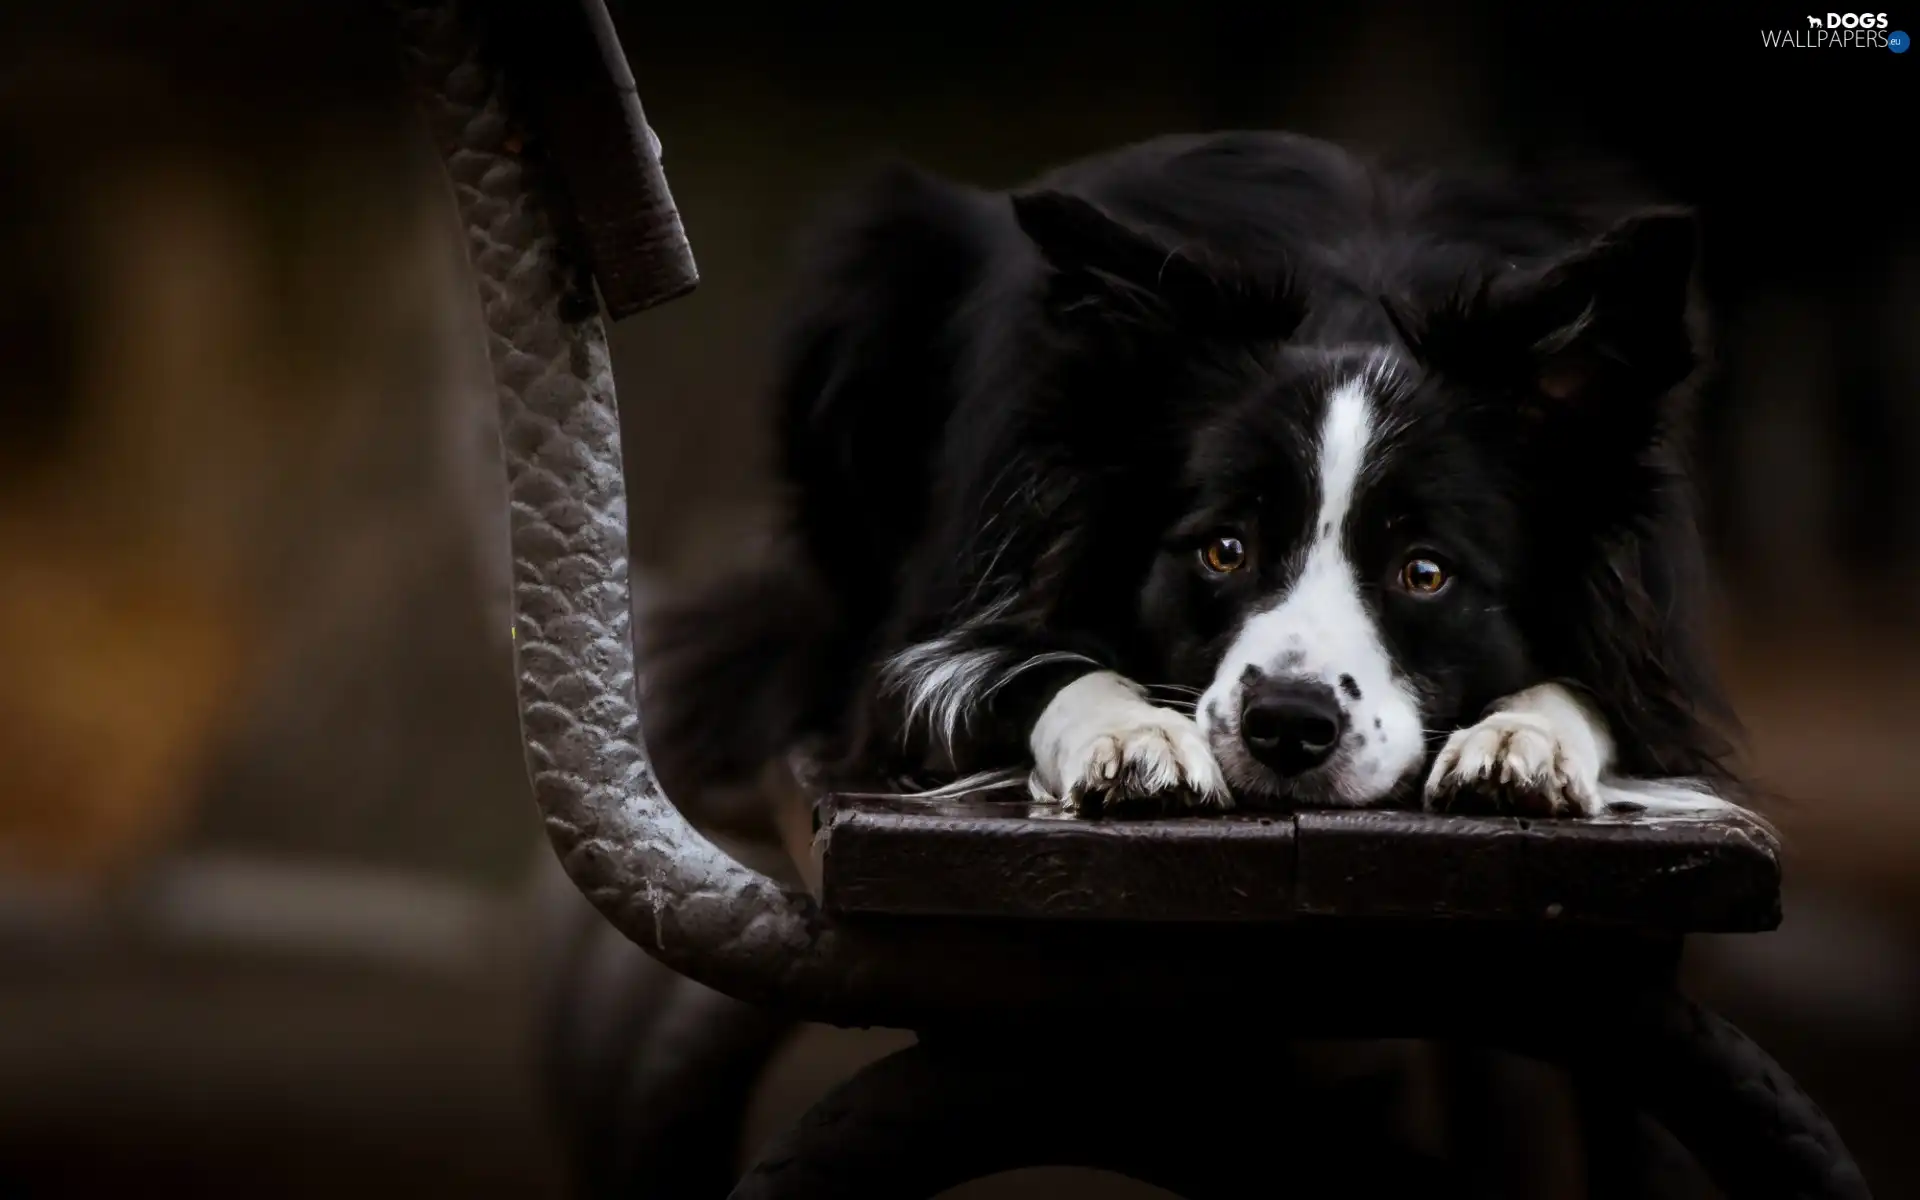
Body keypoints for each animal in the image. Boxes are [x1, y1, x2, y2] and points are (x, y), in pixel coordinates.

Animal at [641, 133, 1743, 821]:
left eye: (1425, 572)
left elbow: (1604, 697)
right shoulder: (929, 642)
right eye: (1223, 549)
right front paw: (1132, 737)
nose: (1287, 727)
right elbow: (1033, 666)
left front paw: (1524, 742)